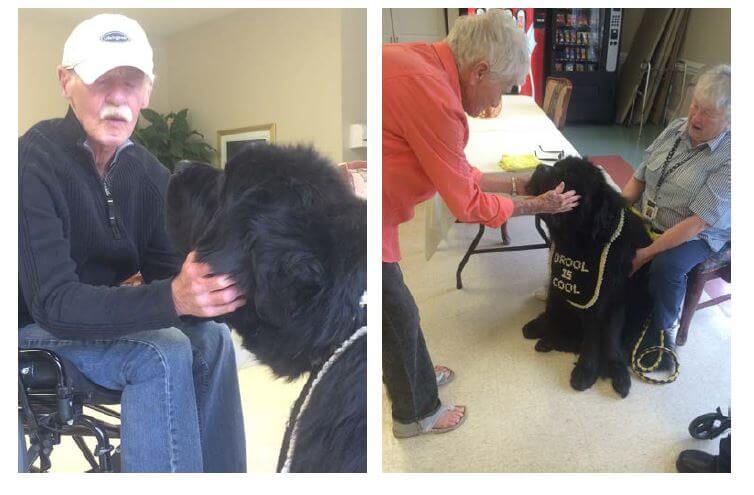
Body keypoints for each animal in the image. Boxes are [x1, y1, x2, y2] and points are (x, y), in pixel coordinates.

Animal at [520, 159, 656, 400]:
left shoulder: (608, 300)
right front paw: (544, 327)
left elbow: (602, 337)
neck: (582, 243)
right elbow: (553, 309)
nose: (540, 167)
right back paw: (546, 337)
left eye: (566, 176)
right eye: (556, 165)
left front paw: (593, 371)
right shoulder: (560, 284)